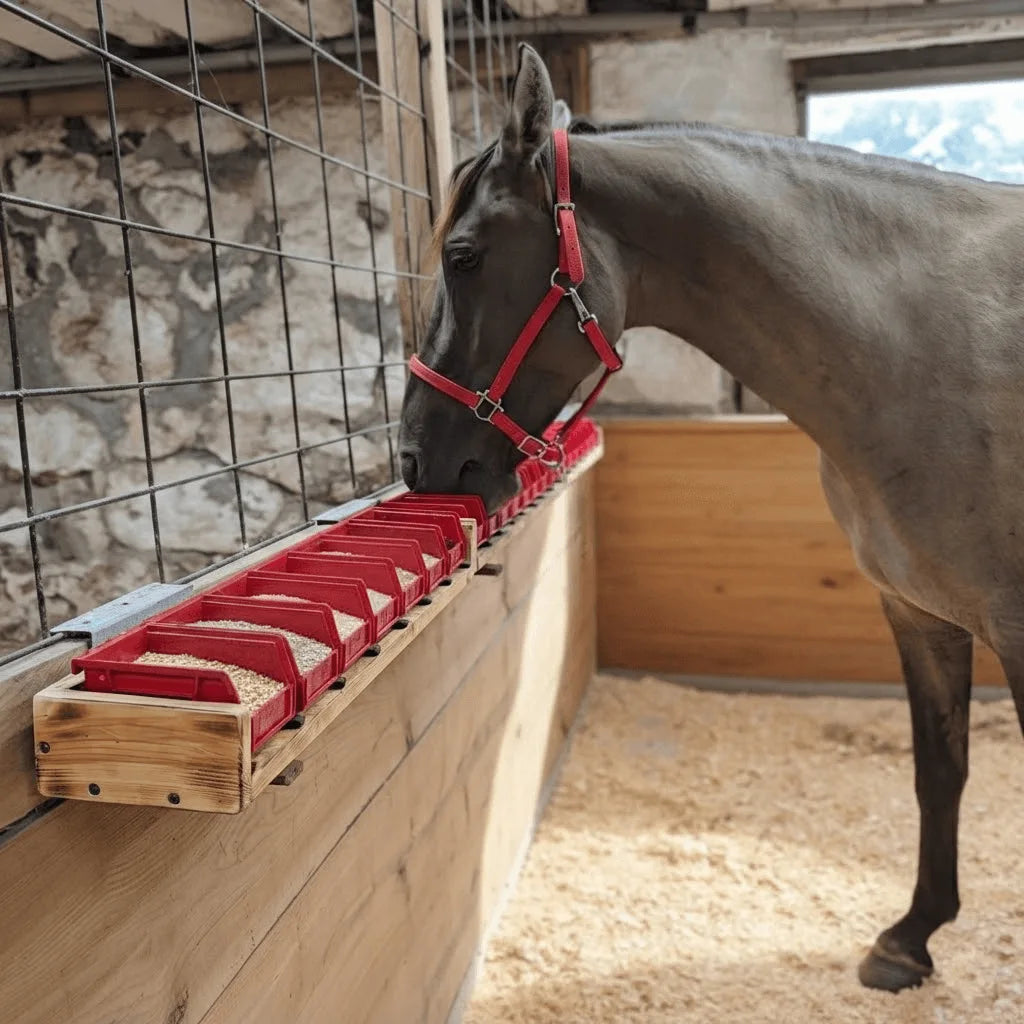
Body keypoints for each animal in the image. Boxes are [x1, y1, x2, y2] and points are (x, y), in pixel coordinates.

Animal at [397, 42, 1024, 993]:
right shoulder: (919, 613)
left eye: (464, 257)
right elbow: (940, 770)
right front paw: (910, 936)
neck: (933, 346)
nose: (416, 458)